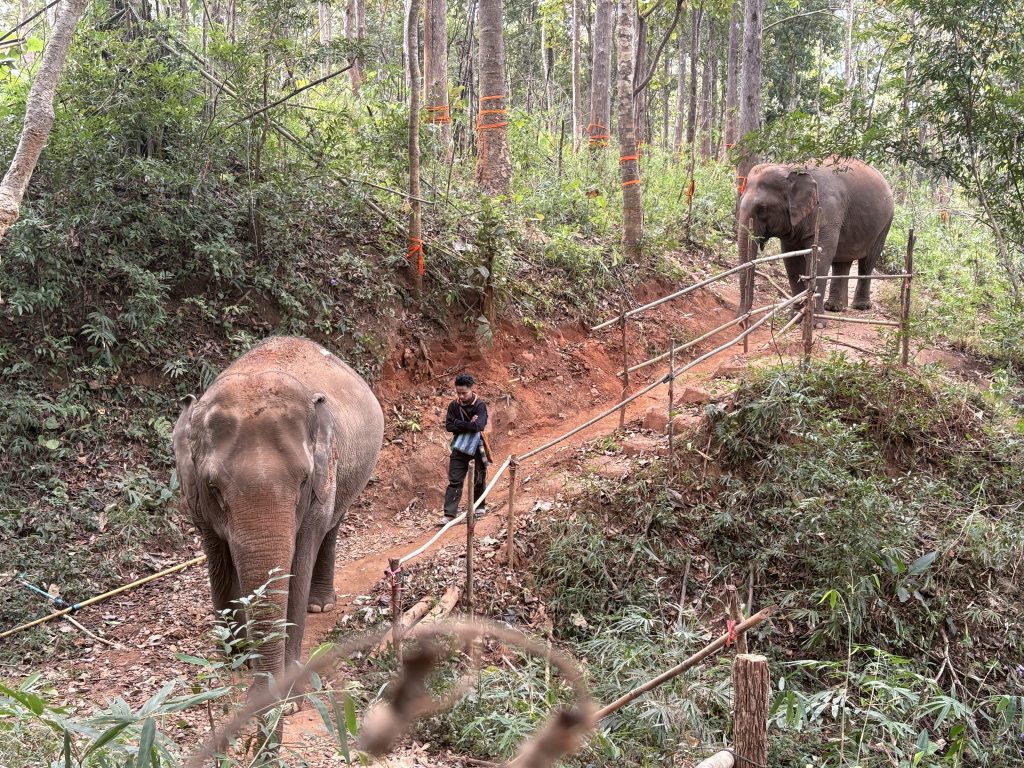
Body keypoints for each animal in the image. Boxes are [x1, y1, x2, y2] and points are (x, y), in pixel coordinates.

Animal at [172, 336, 384, 689]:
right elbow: (219, 561)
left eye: (303, 480)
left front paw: (290, 682)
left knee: (332, 528)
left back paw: (320, 605)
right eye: (213, 487)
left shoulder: (319, 487)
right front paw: (236, 659)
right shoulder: (197, 504)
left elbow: (298, 566)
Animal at [737, 158, 894, 318]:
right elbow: (791, 260)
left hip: (885, 223)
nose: (742, 318)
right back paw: (835, 307)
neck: (790, 168)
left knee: (868, 261)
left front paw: (815, 319)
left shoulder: (826, 212)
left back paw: (861, 306)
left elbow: (821, 255)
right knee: (842, 261)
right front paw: (796, 315)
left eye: (762, 208)